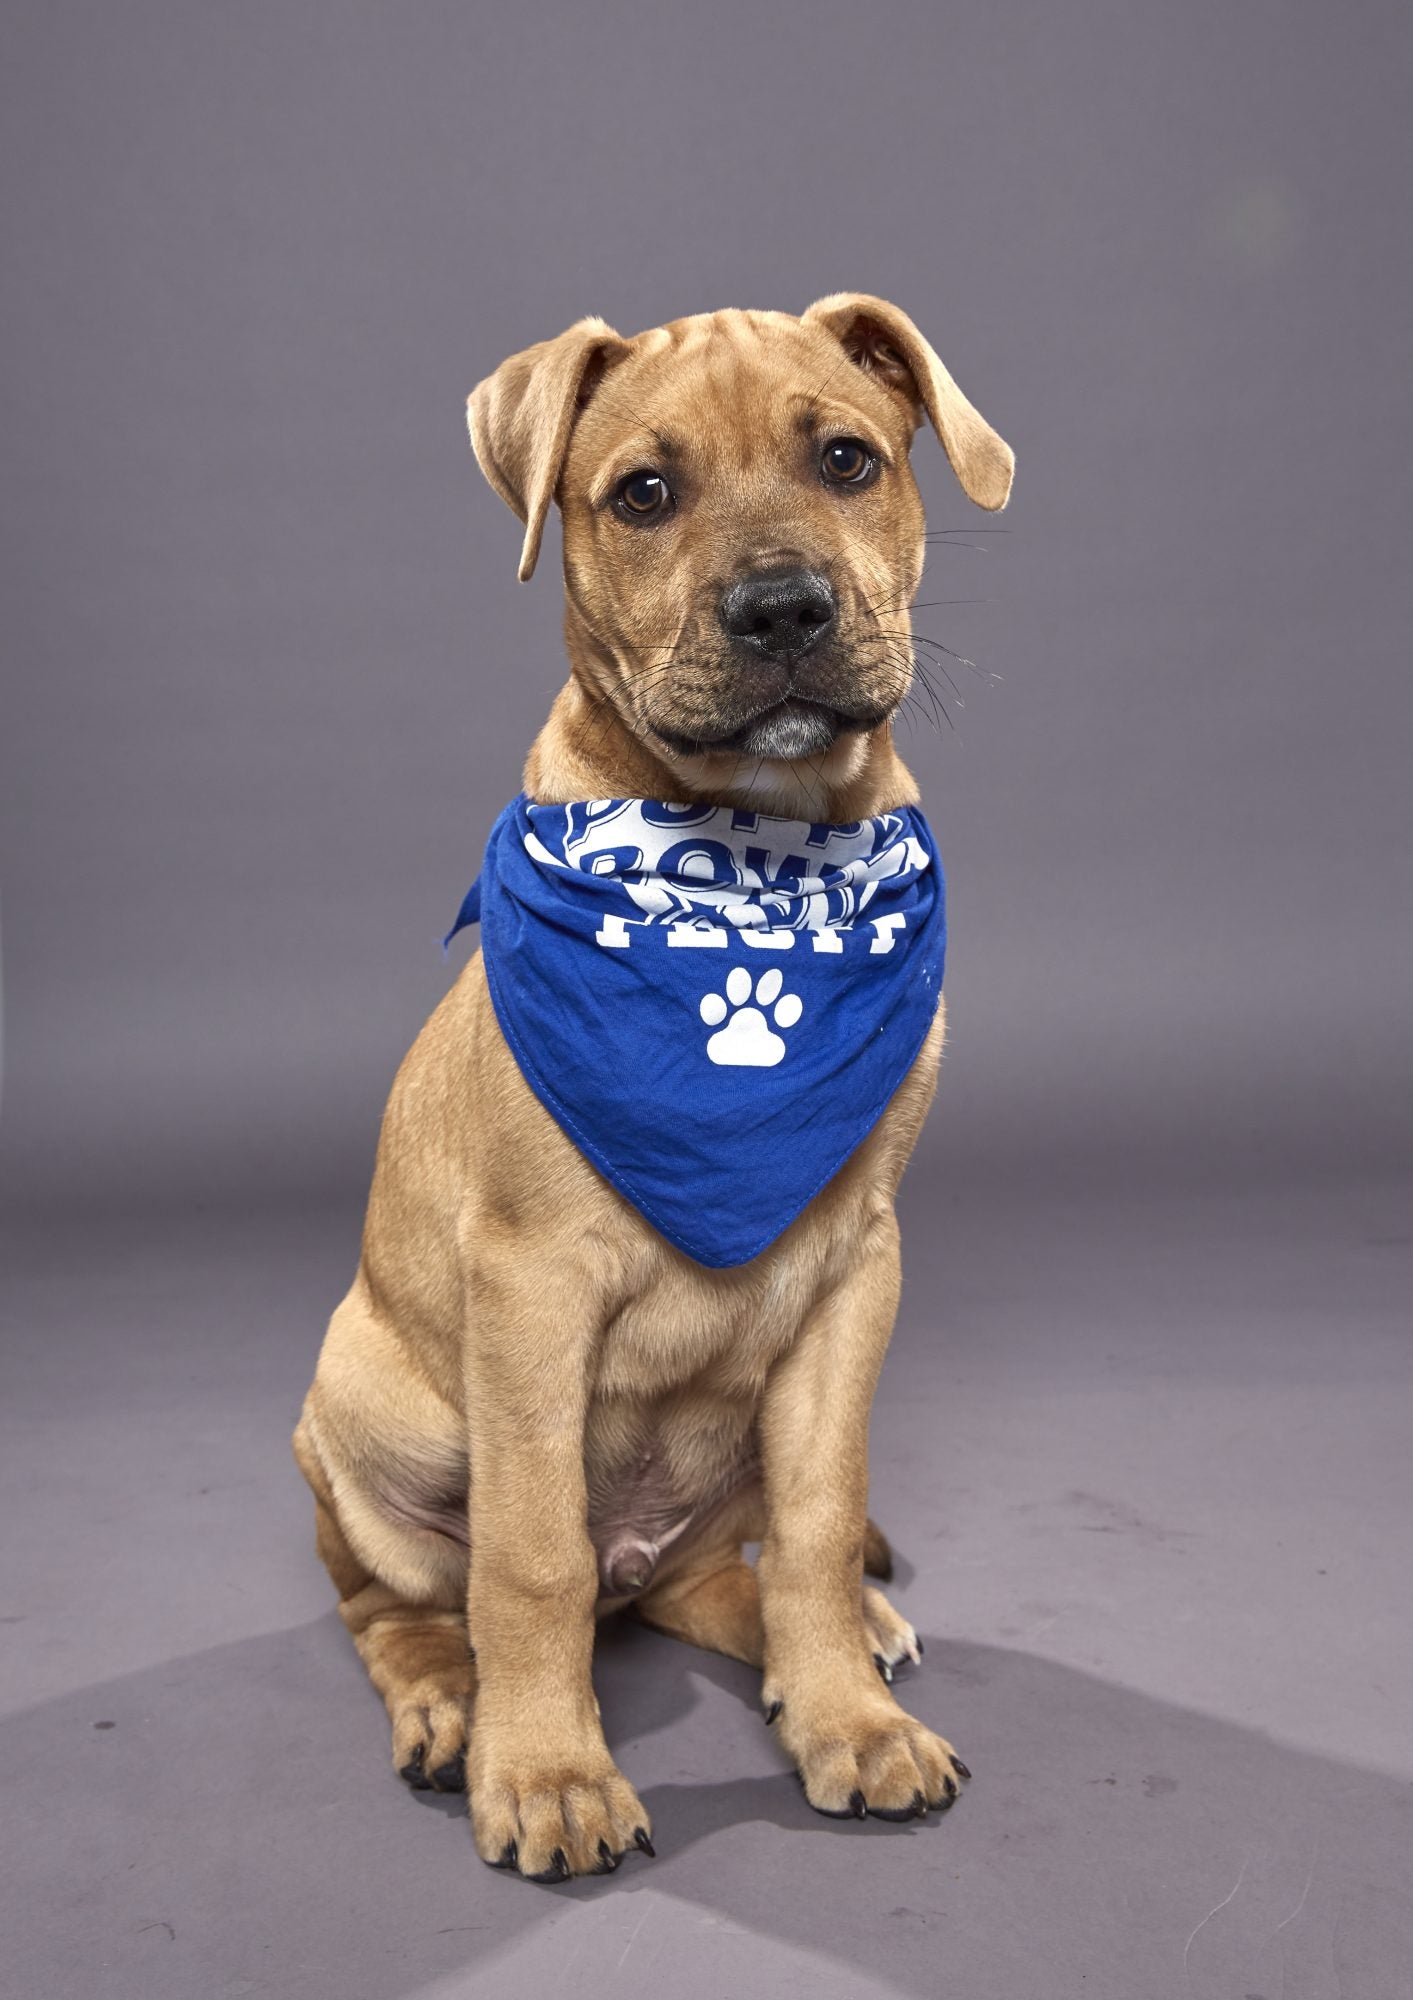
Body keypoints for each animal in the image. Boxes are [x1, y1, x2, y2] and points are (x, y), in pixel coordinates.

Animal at [292, 290, 1008, 1880]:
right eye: (642, 495)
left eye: (849, 460)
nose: (784, 609)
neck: (756, 870)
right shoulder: (530, 1289)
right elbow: (529, 1558)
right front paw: (550, 1774)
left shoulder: (857, 1270)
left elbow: (819, 1520)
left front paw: (848, 1719)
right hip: (366, 1409)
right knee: (409, 1597)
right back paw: (450, 1708)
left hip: (724, 1448)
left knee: (717, 1571)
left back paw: (837, 1648)